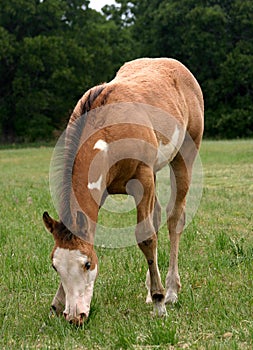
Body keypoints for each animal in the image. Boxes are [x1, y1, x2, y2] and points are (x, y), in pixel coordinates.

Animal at [43, 58, 204, 326]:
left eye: (87, 264)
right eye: (55, 266)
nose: (76, 317)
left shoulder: (143, 178)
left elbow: (146, 237)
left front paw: (160, 303)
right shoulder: (102, 190)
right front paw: (57, 303)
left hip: (184, 158)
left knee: (174, 219)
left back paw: (170, 291)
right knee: (157, 216)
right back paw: (151, 289)